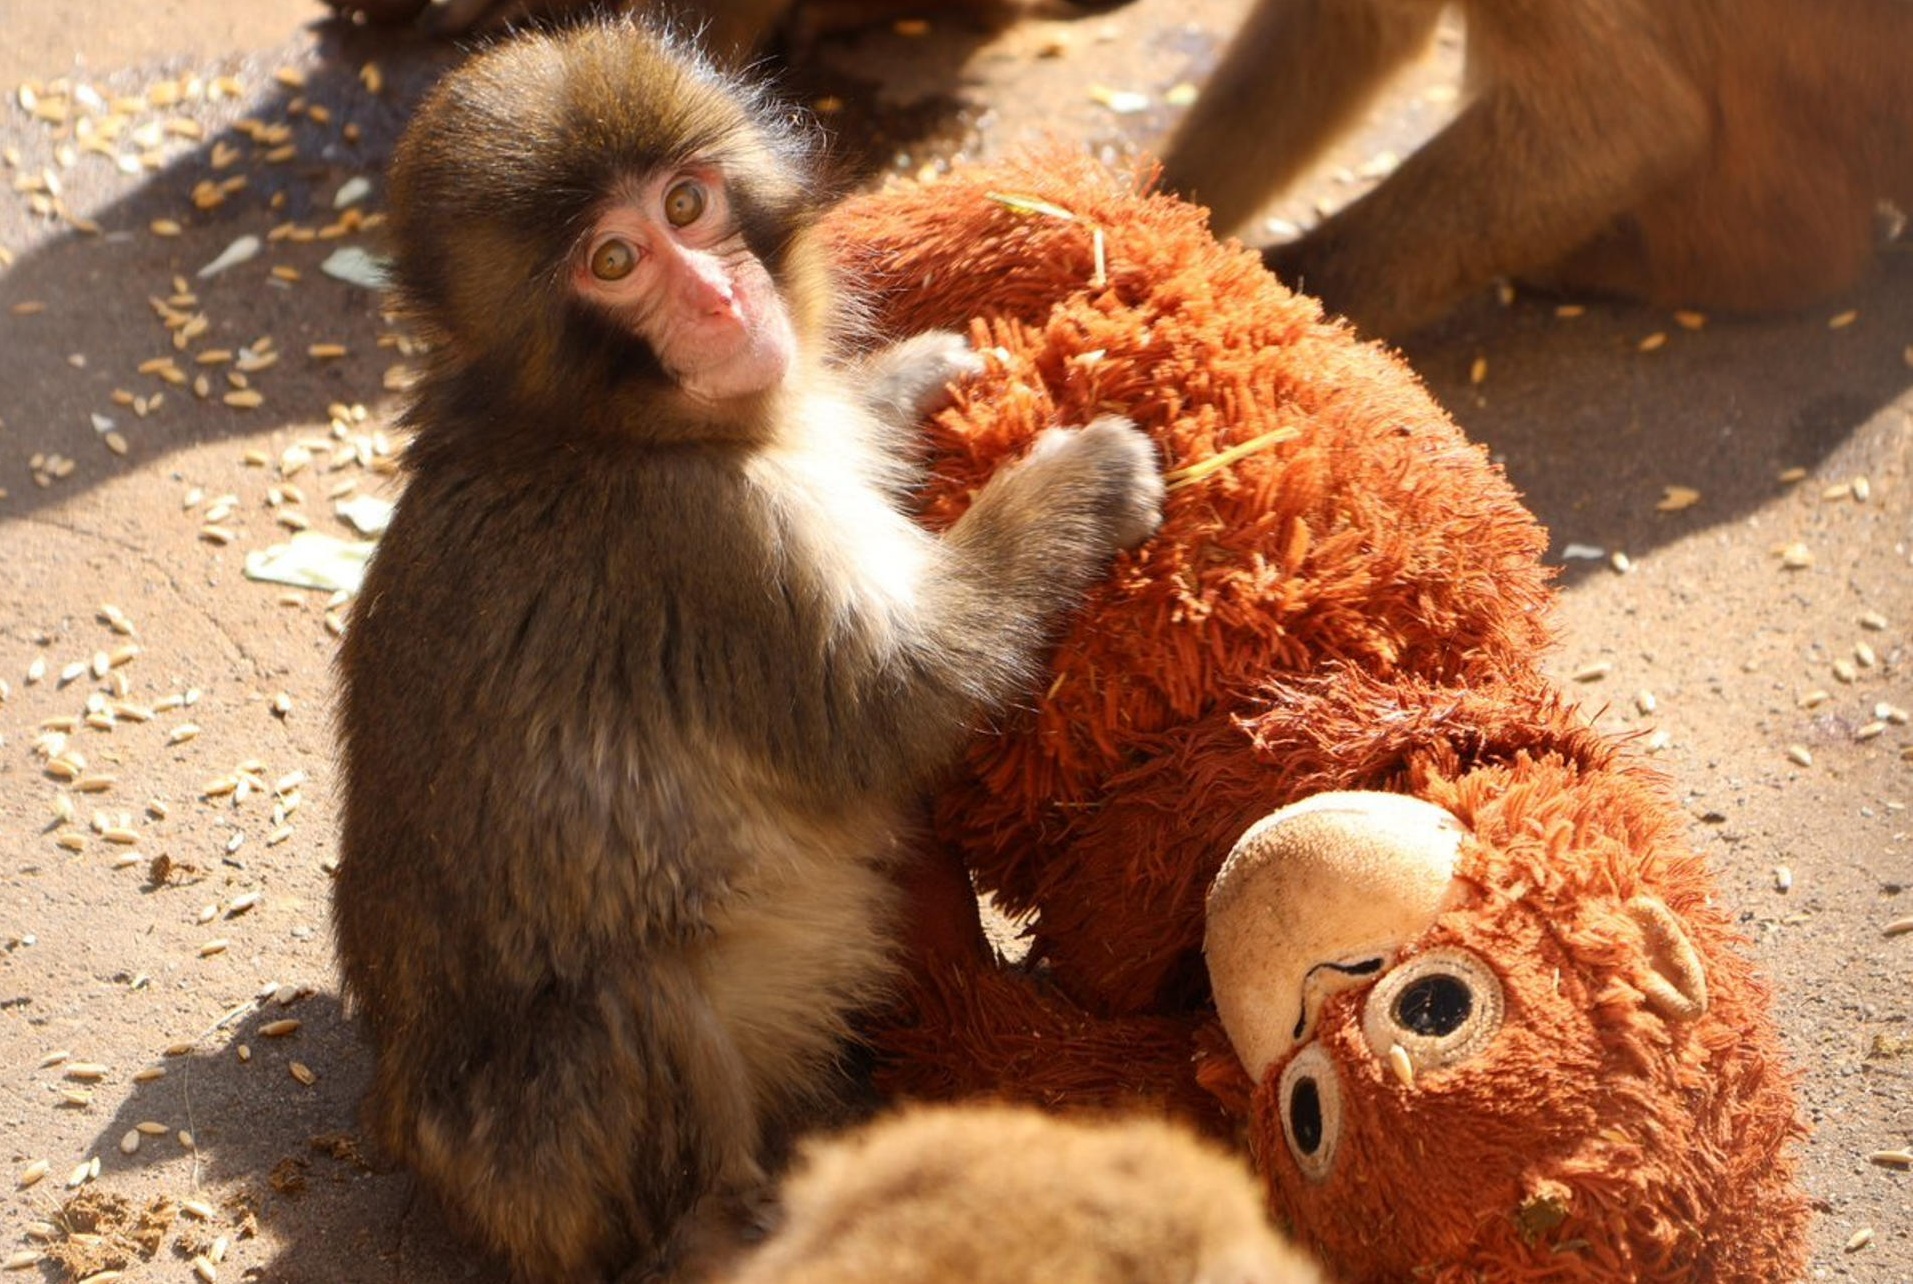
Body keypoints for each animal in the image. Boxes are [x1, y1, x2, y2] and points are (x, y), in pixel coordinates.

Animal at [331, 20, 1164, 1284]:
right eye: (613, 261)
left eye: (687, 203)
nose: (723, 300)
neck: (602, 426)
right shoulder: (707, 544)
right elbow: (892, 706)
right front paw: (1078, 481)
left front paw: (904, 381)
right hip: (539, 1170)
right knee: (627, 1005)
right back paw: (730, 1225)